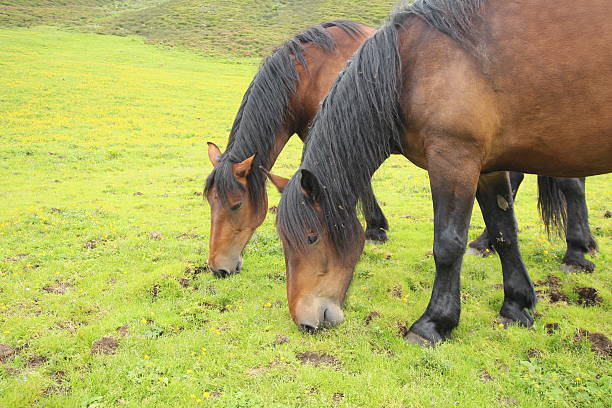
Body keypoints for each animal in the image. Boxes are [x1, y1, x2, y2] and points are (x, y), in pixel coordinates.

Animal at [270, 0, 608, 344]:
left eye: (311, 238)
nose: (305, 321)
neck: (412, 67)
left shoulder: (454, 160)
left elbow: (447, 245)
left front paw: (433, 322)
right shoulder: (488, 169)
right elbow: (504, 233)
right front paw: (515, 305)